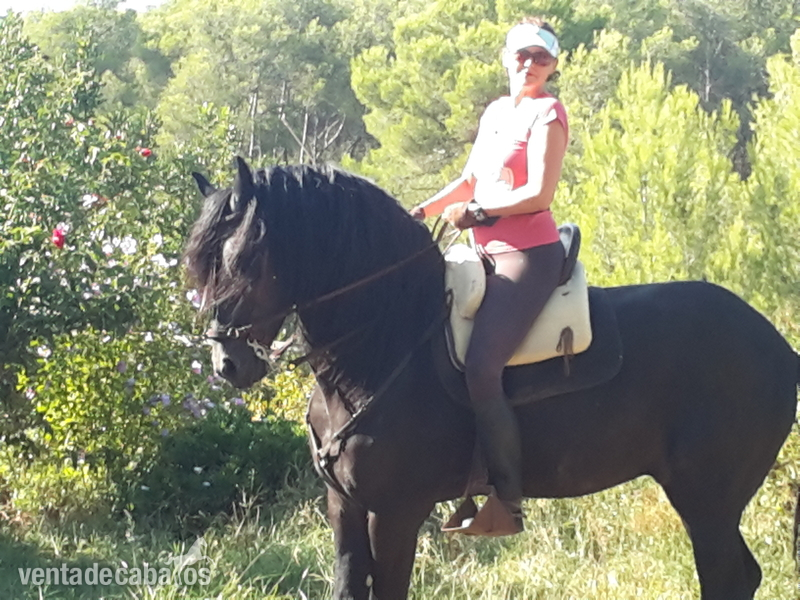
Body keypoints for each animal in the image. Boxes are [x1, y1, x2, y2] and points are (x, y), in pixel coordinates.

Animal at [183, 157, 800, 600]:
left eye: (244, 259)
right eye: (201, 263)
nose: (227, 363)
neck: (385, 341)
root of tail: (777, 347)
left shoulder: (397, 510)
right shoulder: (345, 507)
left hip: (707, 499)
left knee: (728, 578)